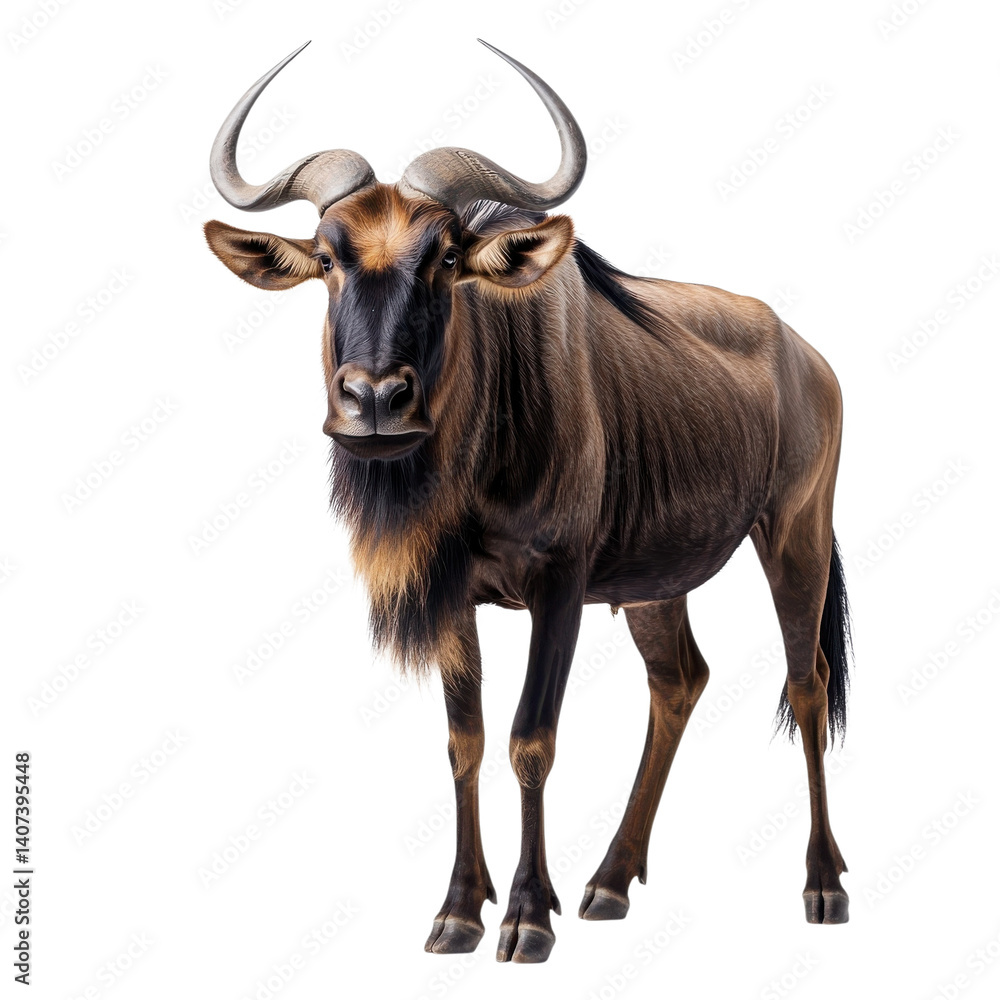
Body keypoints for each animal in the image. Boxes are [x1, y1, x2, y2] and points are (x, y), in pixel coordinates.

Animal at [204, 40, 852, 963]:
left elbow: (530, 740)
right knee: (680, 681)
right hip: (655, 585)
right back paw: (611, 882)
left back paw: (823, 884)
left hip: (796, 539)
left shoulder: (560, 587)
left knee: (806, 683)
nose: (374, 401)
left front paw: (526, 915)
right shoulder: (452, 597)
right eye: (327, 259)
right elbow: (465, 742)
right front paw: (458, 909)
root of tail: (809, 357)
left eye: (446, 257)